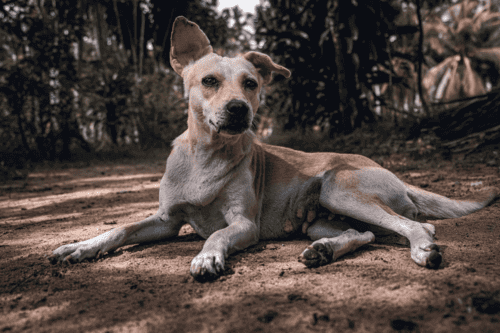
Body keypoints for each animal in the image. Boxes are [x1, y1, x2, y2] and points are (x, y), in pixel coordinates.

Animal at [48, 16, 498, 278]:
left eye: (251, 83)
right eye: (209, 81)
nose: (239, 109)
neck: (207, 157)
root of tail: (397, 176)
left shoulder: (243, 224)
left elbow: (216, 235)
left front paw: (207, 257)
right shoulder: (165, 220)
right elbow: (118, 229)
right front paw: (78, 247)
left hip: (338, 187)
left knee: (419, 226)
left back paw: (423, 249)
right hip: (321, 217)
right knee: (364, 234)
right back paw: (323, 251)